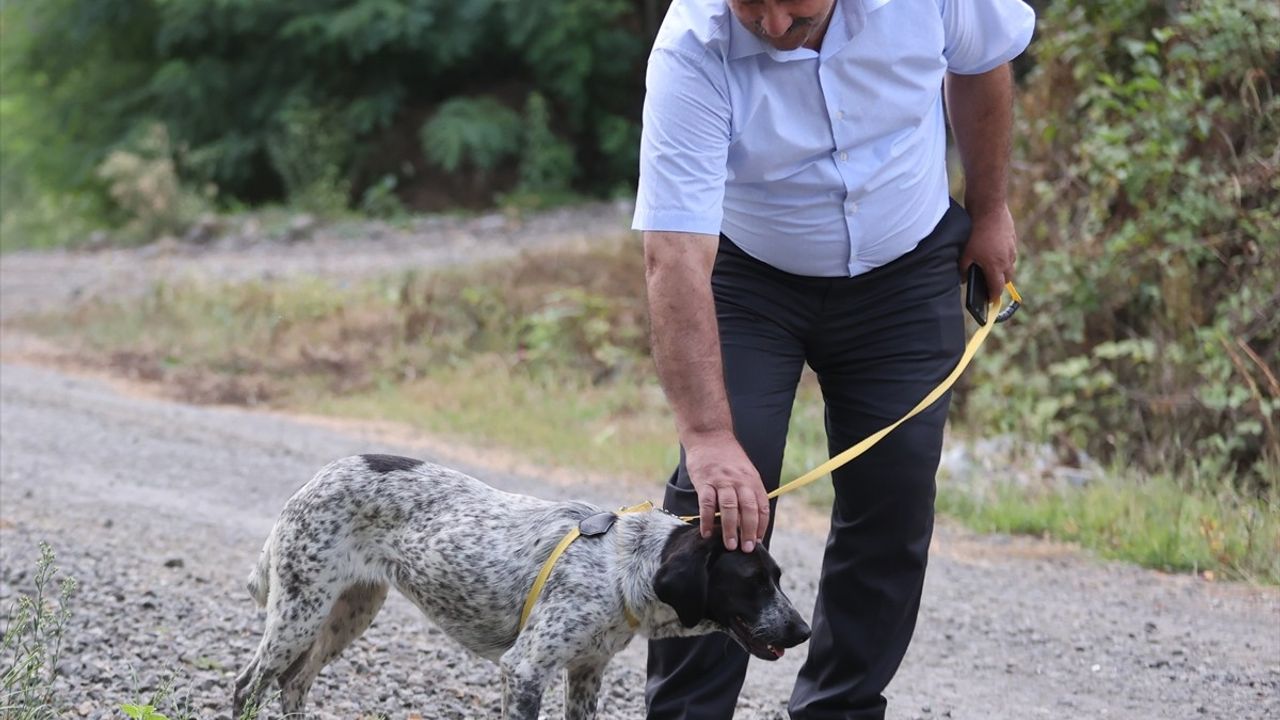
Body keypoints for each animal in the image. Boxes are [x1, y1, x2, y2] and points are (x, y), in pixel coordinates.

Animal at [231, 450, 808, 712]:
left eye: (778, 578)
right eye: (753, 582)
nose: (802, 631)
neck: (624, 565)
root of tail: (317, 475)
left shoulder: (587, 673)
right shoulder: (525, 669)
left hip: (348, 614)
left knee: (293, 684)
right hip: (299, 615)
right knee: (249, 685)